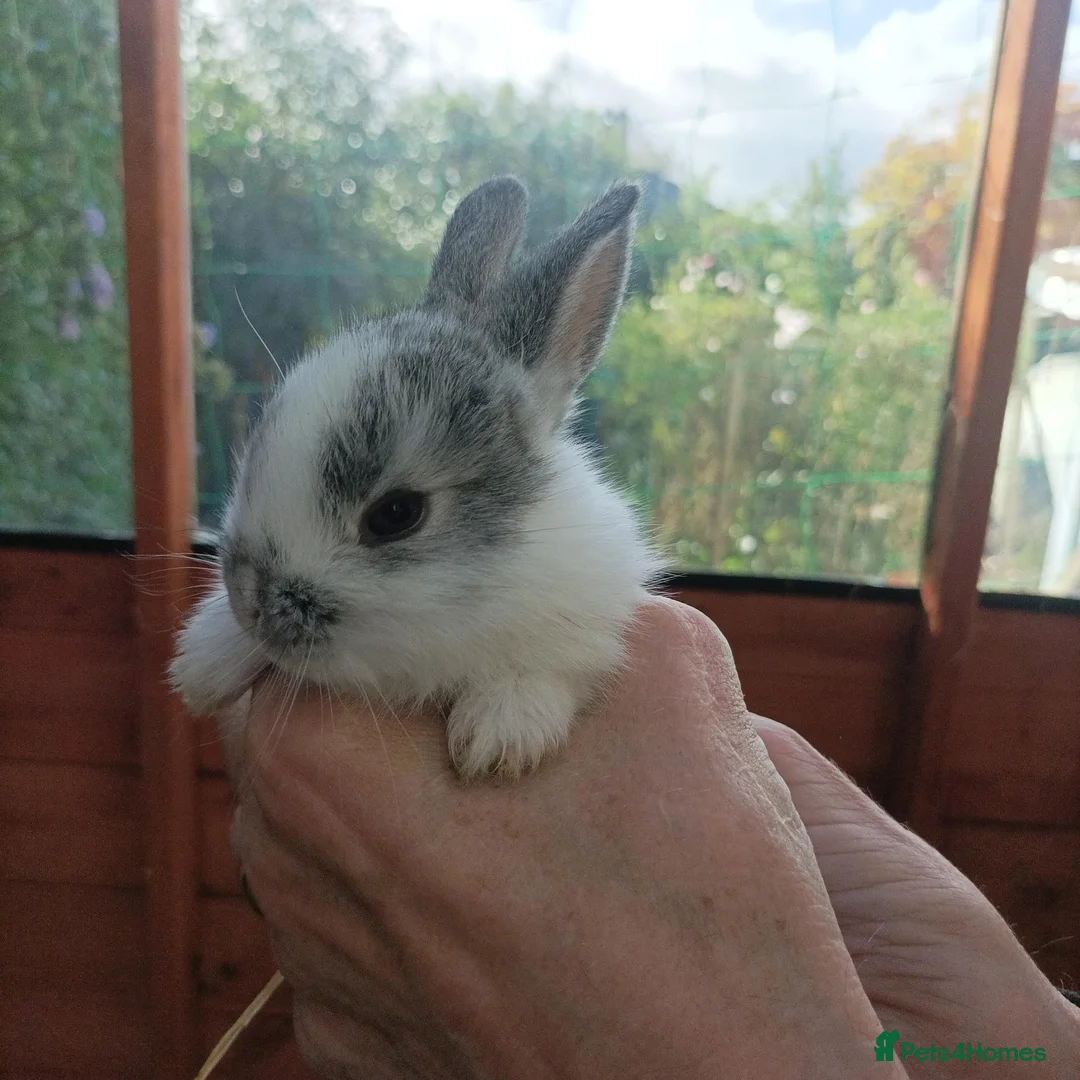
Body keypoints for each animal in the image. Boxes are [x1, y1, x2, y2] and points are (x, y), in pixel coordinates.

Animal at [170, 176, 664, 779]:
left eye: (396, 515)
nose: (248, 604)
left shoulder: (595, 613)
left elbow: (555, 668)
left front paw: (499, 737)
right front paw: (201, 663)